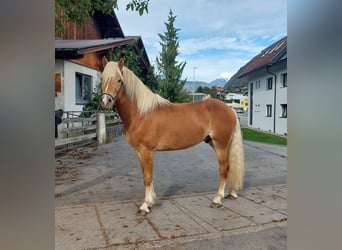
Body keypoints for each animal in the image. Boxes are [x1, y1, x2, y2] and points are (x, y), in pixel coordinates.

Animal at [100, 57, 244, 214]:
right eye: (102, 78)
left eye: (119, 80)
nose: (105, 101)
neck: (141, 113)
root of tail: (230, 109)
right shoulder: (139, 151)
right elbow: (146, 174)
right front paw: (151, 201)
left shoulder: (147, 150)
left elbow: (147, 177)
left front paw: (145, 205)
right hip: (215, 143)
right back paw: (232, 193)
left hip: (220, 145)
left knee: (224, 169)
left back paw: (217, 200)